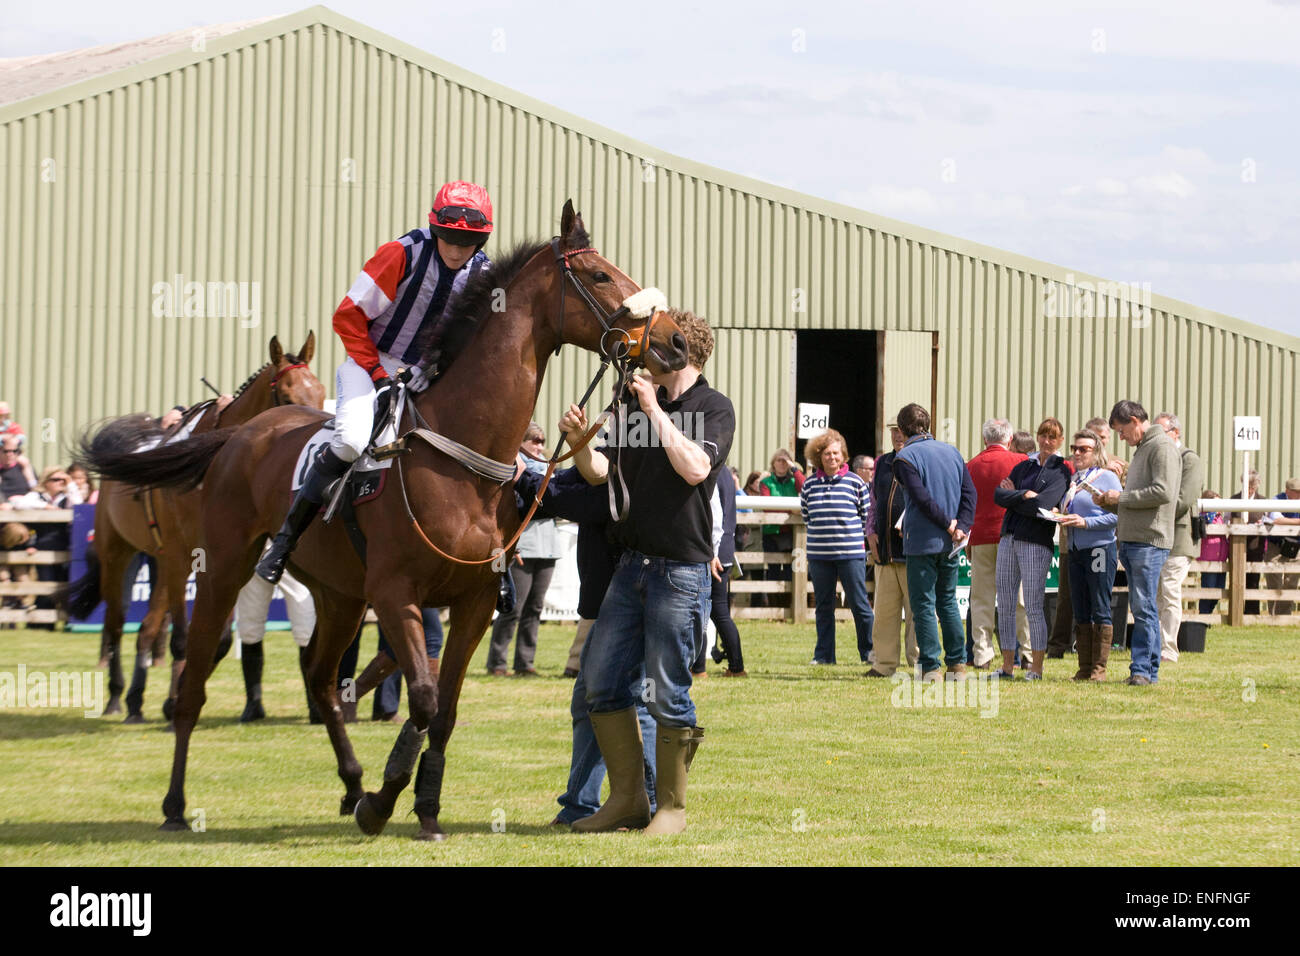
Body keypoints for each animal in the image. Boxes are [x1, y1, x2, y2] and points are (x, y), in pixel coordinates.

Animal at [69, 335, 325, 717]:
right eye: (288, 396)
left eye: (321, 392)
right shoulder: (181, 556)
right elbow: (181, 638)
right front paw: (175, 701)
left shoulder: (224, 557)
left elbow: (218, 639)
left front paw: (176, 697)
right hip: (118, 553)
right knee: (115, 625)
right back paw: (116, 696)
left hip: (159, 562)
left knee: (146, 629)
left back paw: (135, 700)